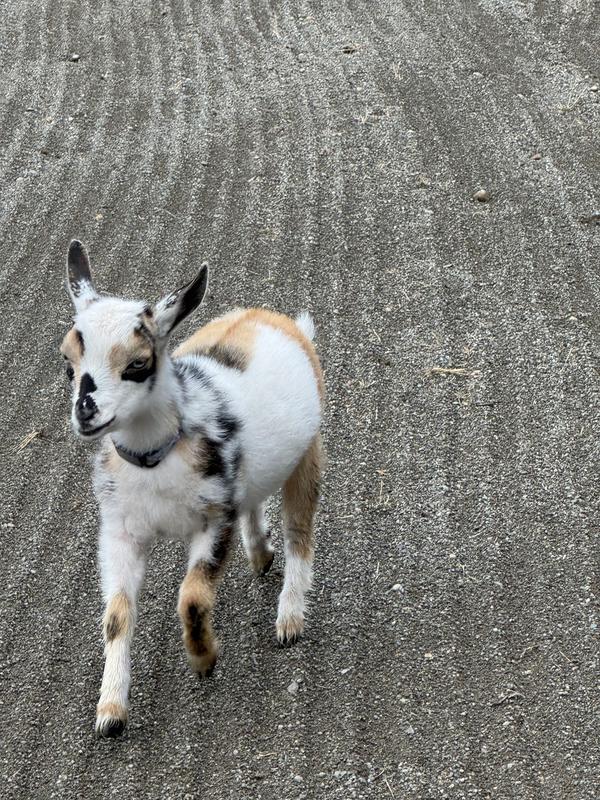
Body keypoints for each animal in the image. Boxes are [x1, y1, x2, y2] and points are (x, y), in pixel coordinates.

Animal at [60, 240, 323, 738]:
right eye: (68, 365)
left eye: (138, 364)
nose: (86, 413)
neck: (156, 456)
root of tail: (275, 319)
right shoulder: (120, 532)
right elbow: (117, 616)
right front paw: (110, 711)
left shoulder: (213, 520)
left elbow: (193, 598)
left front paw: (204, 660)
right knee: (254, 502)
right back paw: (260, 555)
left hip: (308, 453)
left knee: (300, 531)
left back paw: (289, 619)